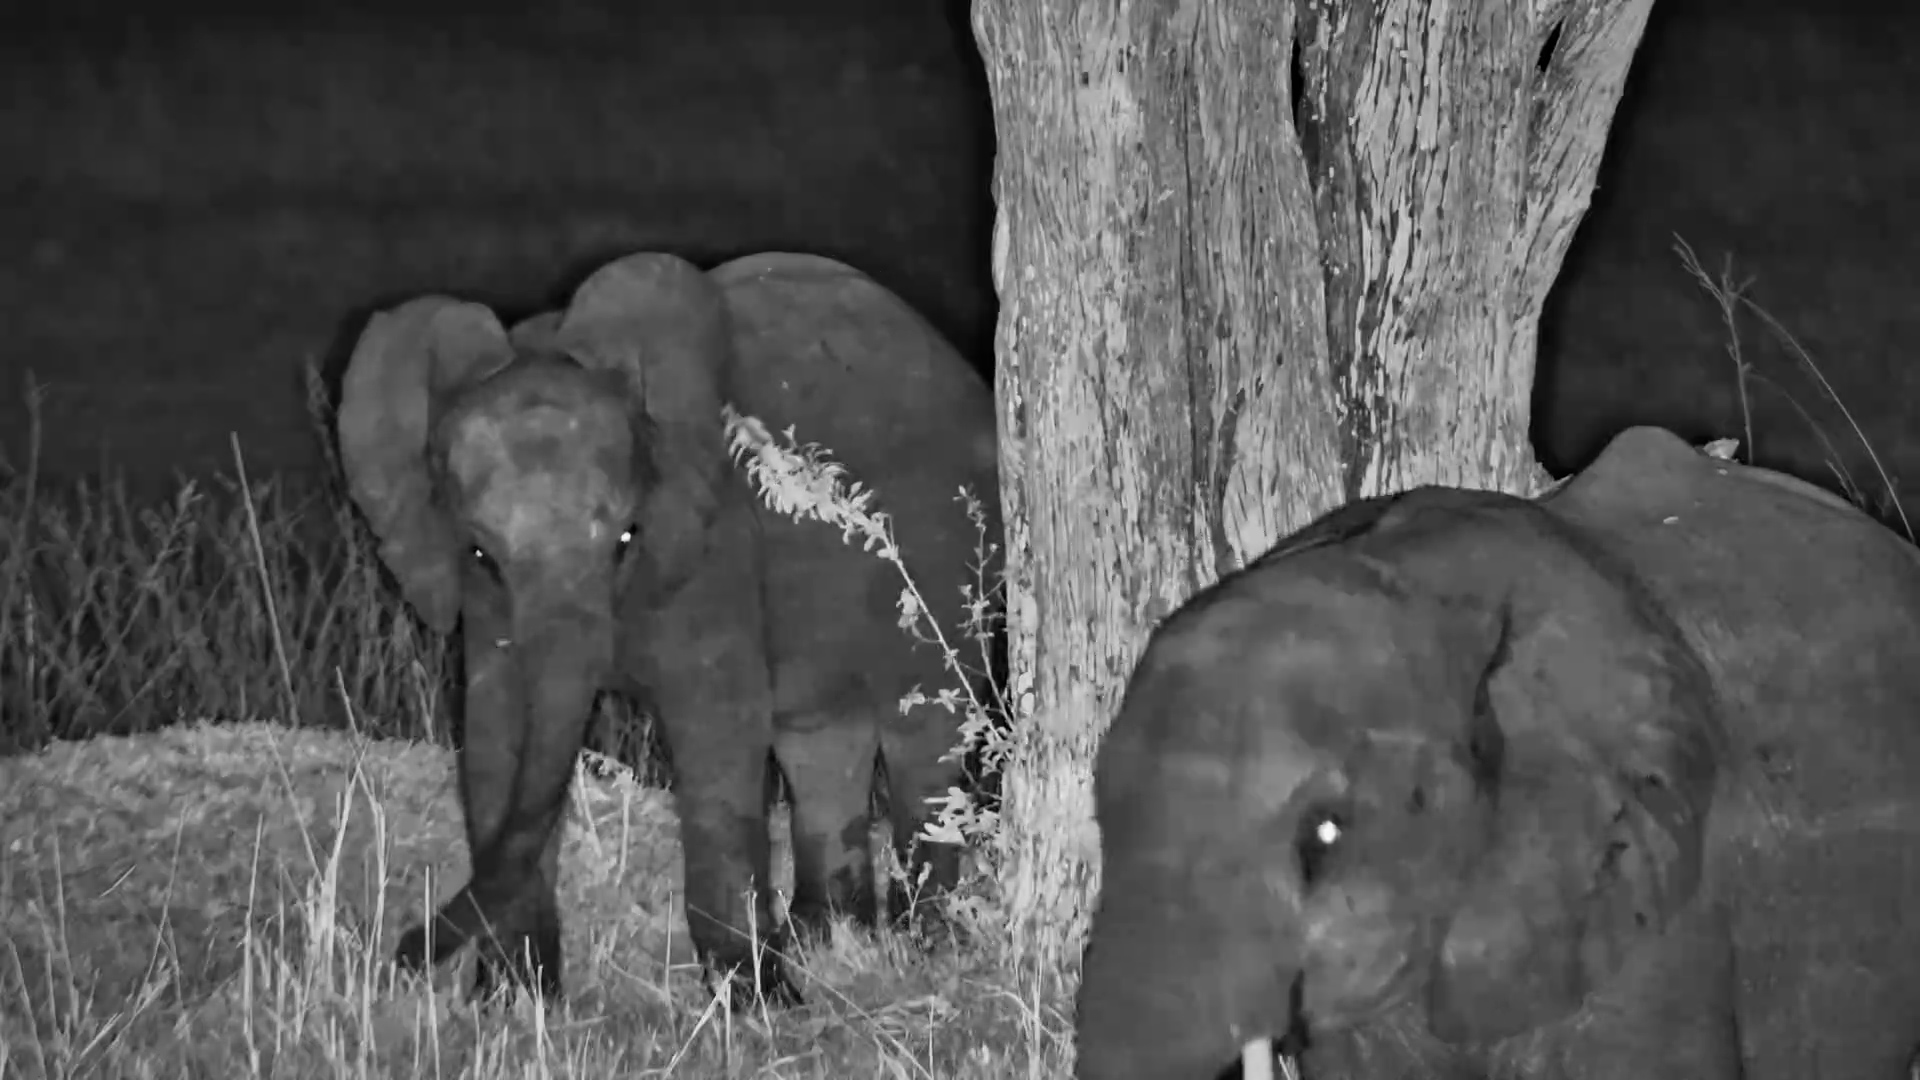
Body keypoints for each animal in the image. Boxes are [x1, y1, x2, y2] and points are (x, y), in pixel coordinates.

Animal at [335, 249, 999, 1004]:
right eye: (480, 555)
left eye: (628, 537)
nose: (401, 952)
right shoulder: (484, 605)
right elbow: (494, 734)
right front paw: (511, 1001)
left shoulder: (715, 540)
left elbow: (718, 730)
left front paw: (758, 1002)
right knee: (821, 739)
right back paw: (830, 940)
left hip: (951, 558)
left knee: (927, 728)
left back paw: (928, 946)